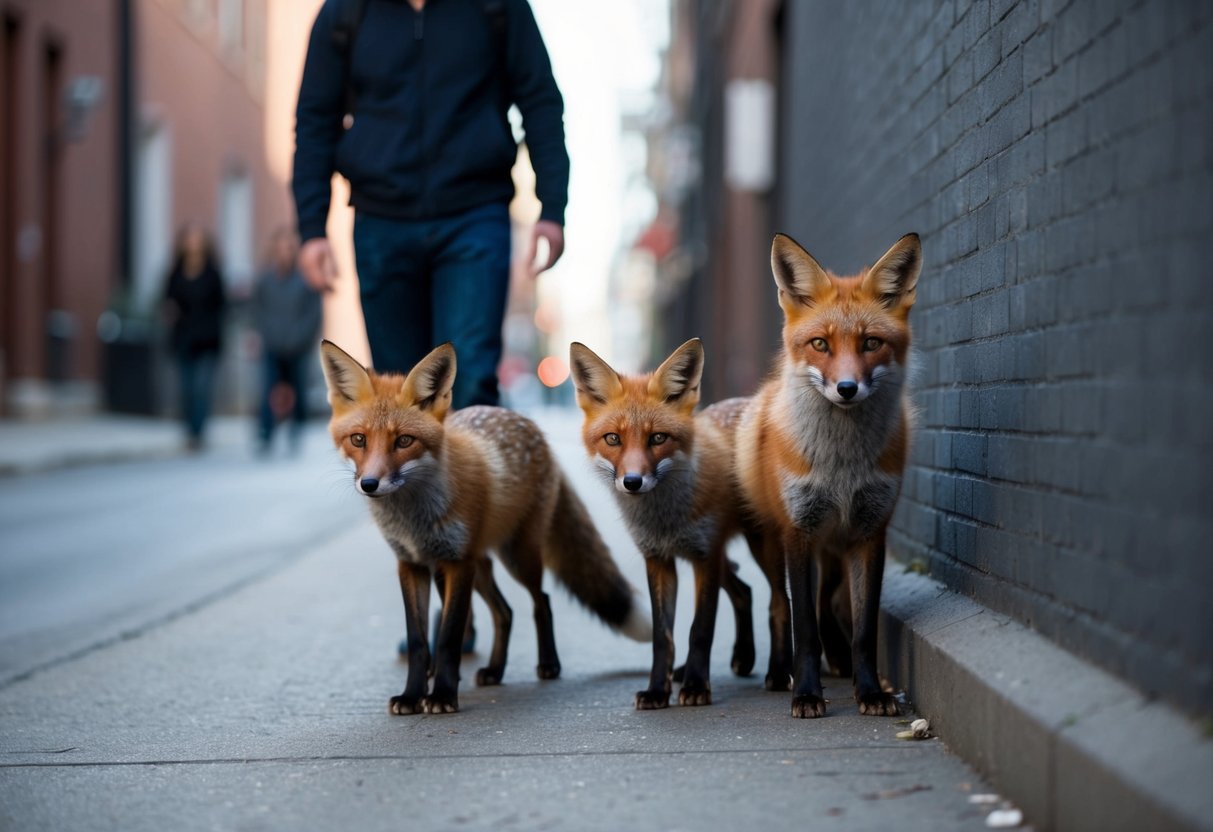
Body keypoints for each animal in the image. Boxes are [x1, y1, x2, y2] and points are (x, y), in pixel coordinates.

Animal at [321, 340, 649, 715]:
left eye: (403, 441)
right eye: (358, 439)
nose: (370, 484)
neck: (413, 520)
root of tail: (529, 423)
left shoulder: (456, 563)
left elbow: (448, 637)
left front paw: (442, 695)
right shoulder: (412, 564)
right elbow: (420, 641)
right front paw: (412, 695)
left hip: (516, 556)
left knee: (541, 600)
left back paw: (548, 664)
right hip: (478, 565)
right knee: (504, 612)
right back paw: (494, 670)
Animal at [571, 338, 790, 708]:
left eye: (658, 438)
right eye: (613, 439)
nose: (632, 482)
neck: (664, 519)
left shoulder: (704, 557)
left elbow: (700, 629)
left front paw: (697, 687)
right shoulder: (659, 559)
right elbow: (664, 636)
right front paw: (658, 690)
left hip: (761, 546)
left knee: (779, 601)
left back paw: (779, 672)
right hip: (721, 557)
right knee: (744, 592)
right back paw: (740, 658)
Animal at [736, 232, 921, 719]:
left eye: (871, 343)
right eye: (820, 344)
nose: (847, 389)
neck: (842, 467)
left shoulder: (870, 532)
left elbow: (863, 629)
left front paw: (869, 691)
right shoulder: (798, 532)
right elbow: (804, 628)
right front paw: (806, 693)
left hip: (834, 549)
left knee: (825, 604)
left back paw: (836, 662)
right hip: (772, 545)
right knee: (780, 606)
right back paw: (779, 674)